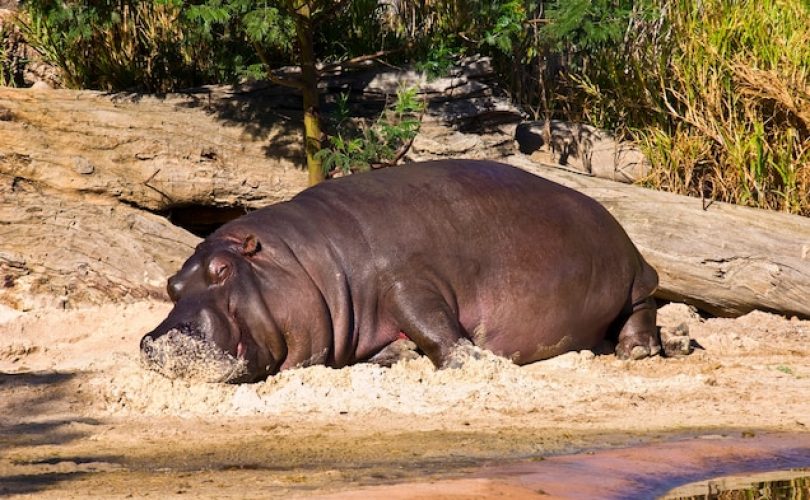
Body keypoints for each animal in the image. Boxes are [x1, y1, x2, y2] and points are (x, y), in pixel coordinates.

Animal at [140, 160, 656, 382]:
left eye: (223, 268)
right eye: (171, 284)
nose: (158, 340)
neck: (306, 263)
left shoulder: (406, 279)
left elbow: (431, 322)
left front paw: (468, 362)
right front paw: (398, 356)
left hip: (631, 278)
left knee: (643, 306)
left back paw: (638, 352)